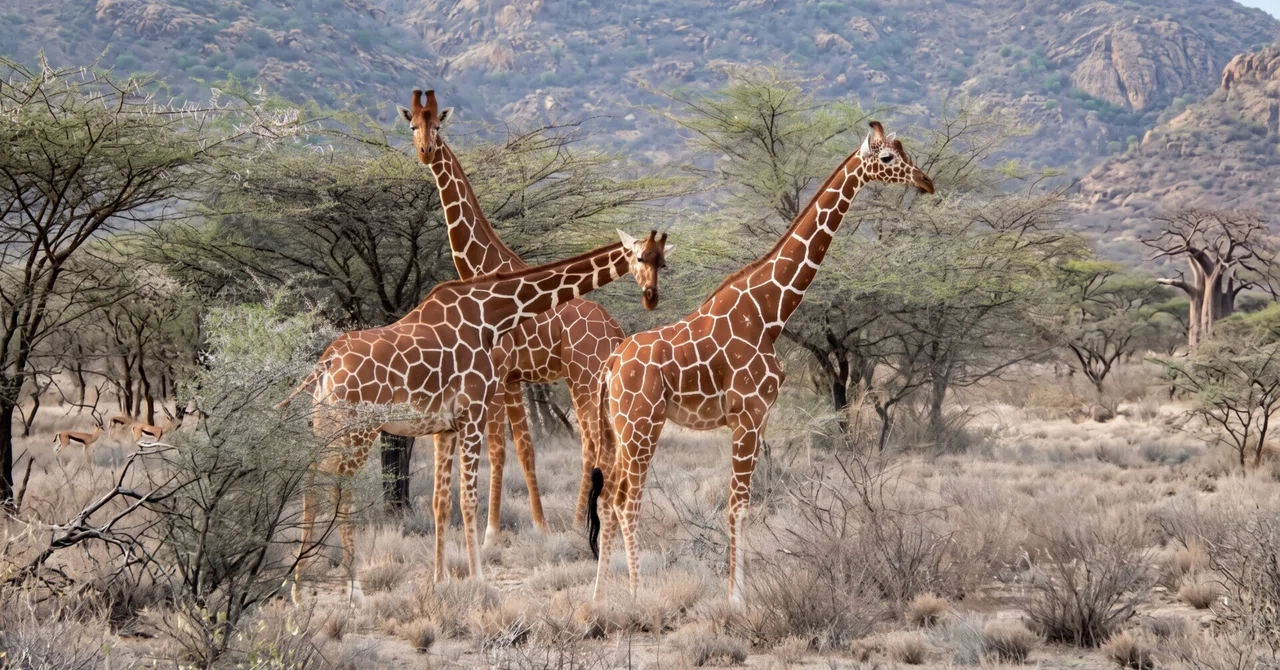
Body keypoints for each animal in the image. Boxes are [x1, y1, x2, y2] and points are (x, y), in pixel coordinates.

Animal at [280, 229, 669, 603]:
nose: (651, 296)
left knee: (310, 483)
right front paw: (479, 579)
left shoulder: (446, 427)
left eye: (662, 261)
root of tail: (327, 360)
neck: (492, 315)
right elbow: (469, 500)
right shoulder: (474, 412)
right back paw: (353, 592)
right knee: (340, 491)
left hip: (326, 426)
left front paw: (439, 581)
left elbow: (441, 502)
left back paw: (298, 591)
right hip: (359, 429)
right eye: (639, 257)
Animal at [399, 88, 660, 544]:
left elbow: (500, 448)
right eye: (412, 124)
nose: (426, 152)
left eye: (438, 126)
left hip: (583, 377)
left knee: (593, 443)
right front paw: (535, 524)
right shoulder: (512, 377)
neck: (482, 268)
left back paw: (578, 522)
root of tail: (614, 329)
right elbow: (523, 447)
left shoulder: (498, 373)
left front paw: (491, 532)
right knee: (604, 443)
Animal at [587, 121, 935, 603]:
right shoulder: (748, 413)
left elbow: (742, 503)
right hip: (642, 425)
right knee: (626, 499)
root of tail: (610, 367)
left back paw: (600, 595)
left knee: (607, 497)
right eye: (887, 158)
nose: (926, 182)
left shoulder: (759, 416)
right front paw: (737, 597)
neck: (771, 310)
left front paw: (736, 590)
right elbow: (738, 505)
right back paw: (637, 594)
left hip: (621, 428)